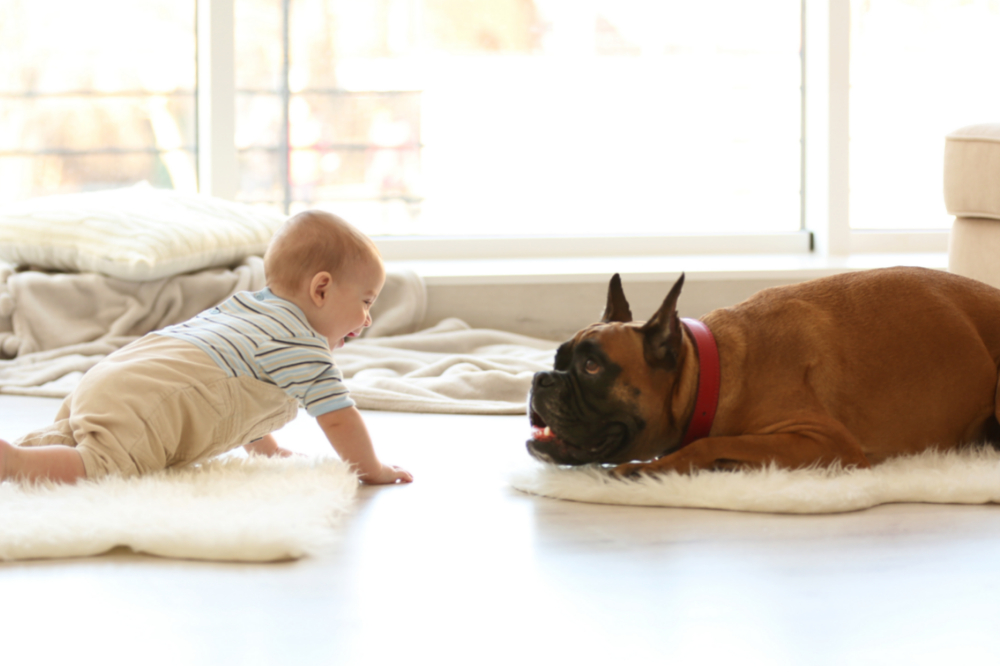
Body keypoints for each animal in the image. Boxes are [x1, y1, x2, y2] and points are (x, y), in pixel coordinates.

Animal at [524, 268, 1000, 474]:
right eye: (558, 360)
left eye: (592, 367)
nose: (539, 379)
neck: (711, 374)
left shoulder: (824, 441)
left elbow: (711, 442)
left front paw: (650, 467)